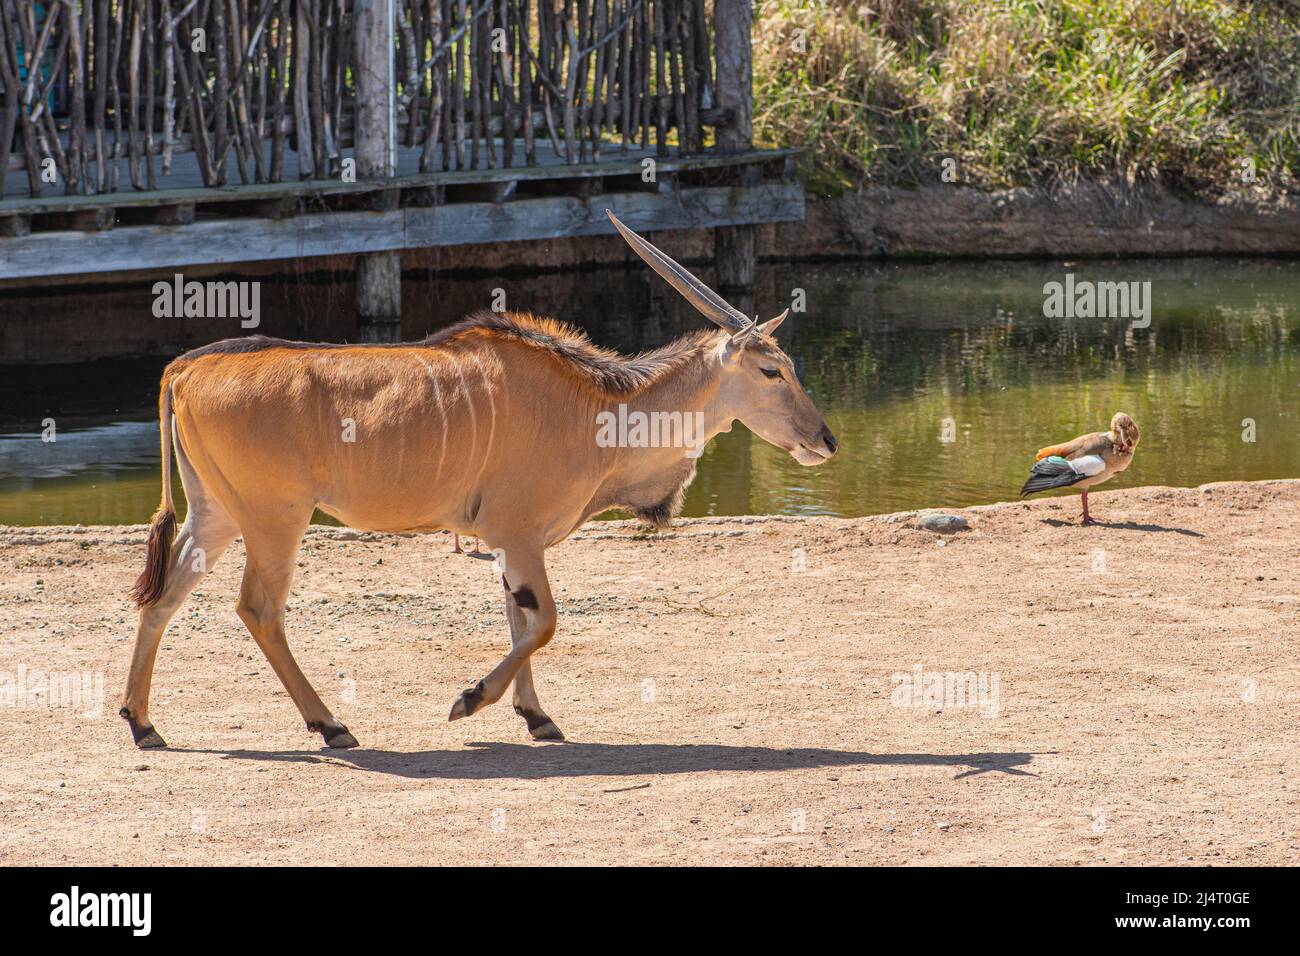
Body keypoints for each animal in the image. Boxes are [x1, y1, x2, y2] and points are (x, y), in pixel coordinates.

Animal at [119, 213, 832, 749]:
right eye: (772, 371)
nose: (825, 440)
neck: (593, 406)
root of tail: (187, 369)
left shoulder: (509, 547)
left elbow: (522, 622)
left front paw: (537, 716)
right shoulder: (518, 535)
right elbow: (545, 623)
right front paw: (471, 699)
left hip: (217, 516)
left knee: (164, 596)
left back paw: (143, 723)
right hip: (276, 520)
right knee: (258, 610)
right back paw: (330, 725)